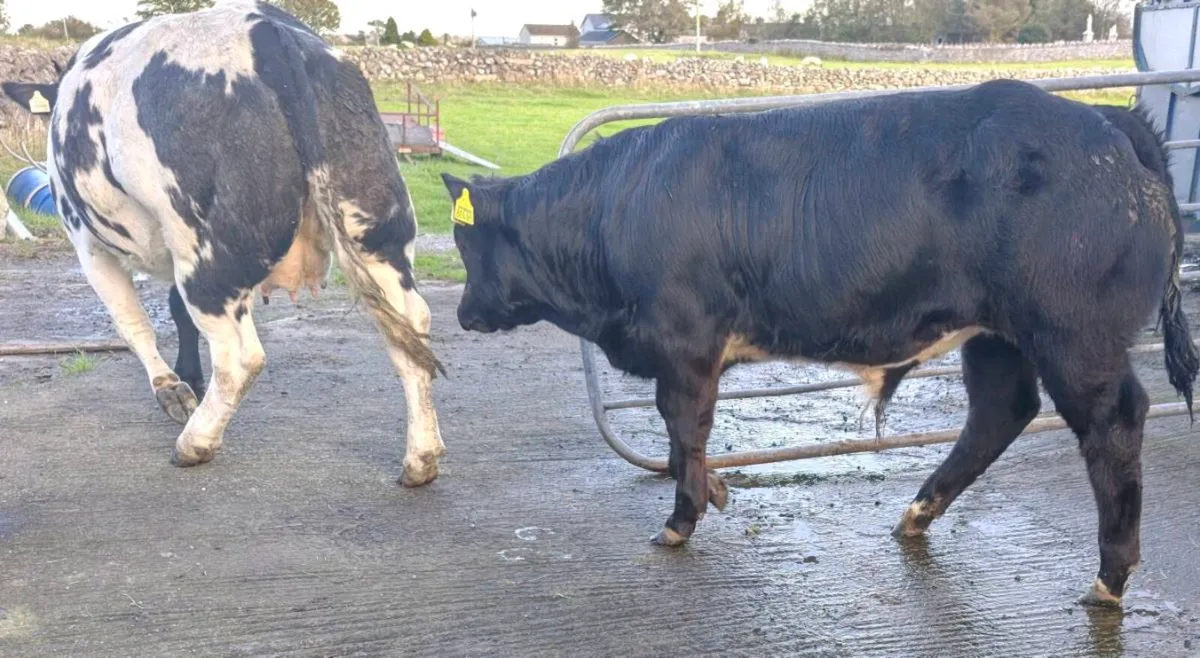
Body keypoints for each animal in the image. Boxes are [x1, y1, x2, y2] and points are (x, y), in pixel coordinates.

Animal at [1, 1, 448, 487]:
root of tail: (268, 34)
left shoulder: (88, 244)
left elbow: (132, 322)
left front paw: (173, 389)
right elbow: (174, 311)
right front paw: (189, 379)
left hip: (206, 254)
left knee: (240, 356)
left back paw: (195, 442)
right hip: (376, 233)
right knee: (411, 331)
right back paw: (421, 458)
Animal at [441, 79, 1199, 607]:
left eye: (464, 241)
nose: (464, 314)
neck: (614, 206)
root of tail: (1107, 121)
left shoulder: (684, 339)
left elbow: (683, 427)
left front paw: (682, 517)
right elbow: (686, 436)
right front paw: (713, 489)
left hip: (1073, 335)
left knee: (1112, 423)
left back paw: (1110, 576)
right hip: (996, 335)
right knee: (1000, 411)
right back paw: (916, 514)